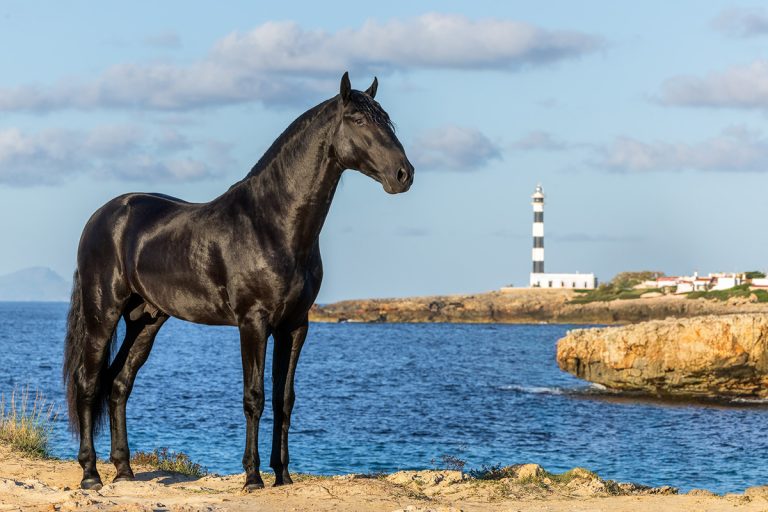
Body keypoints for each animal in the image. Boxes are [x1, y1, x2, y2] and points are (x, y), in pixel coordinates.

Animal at [62, 72, 414, 491]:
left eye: (388, 120)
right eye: (358, 120)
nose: (404, 175)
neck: (272, 223)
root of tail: (103, 216)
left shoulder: (295, 326)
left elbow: (284, 399)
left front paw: (283, 475)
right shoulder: (253, 323)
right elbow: (255, 396)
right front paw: (253, 476)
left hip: (146, 320)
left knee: (118, 383)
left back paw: (125, 471)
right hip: (103, 313)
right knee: (88, 382)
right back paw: (90, 474)